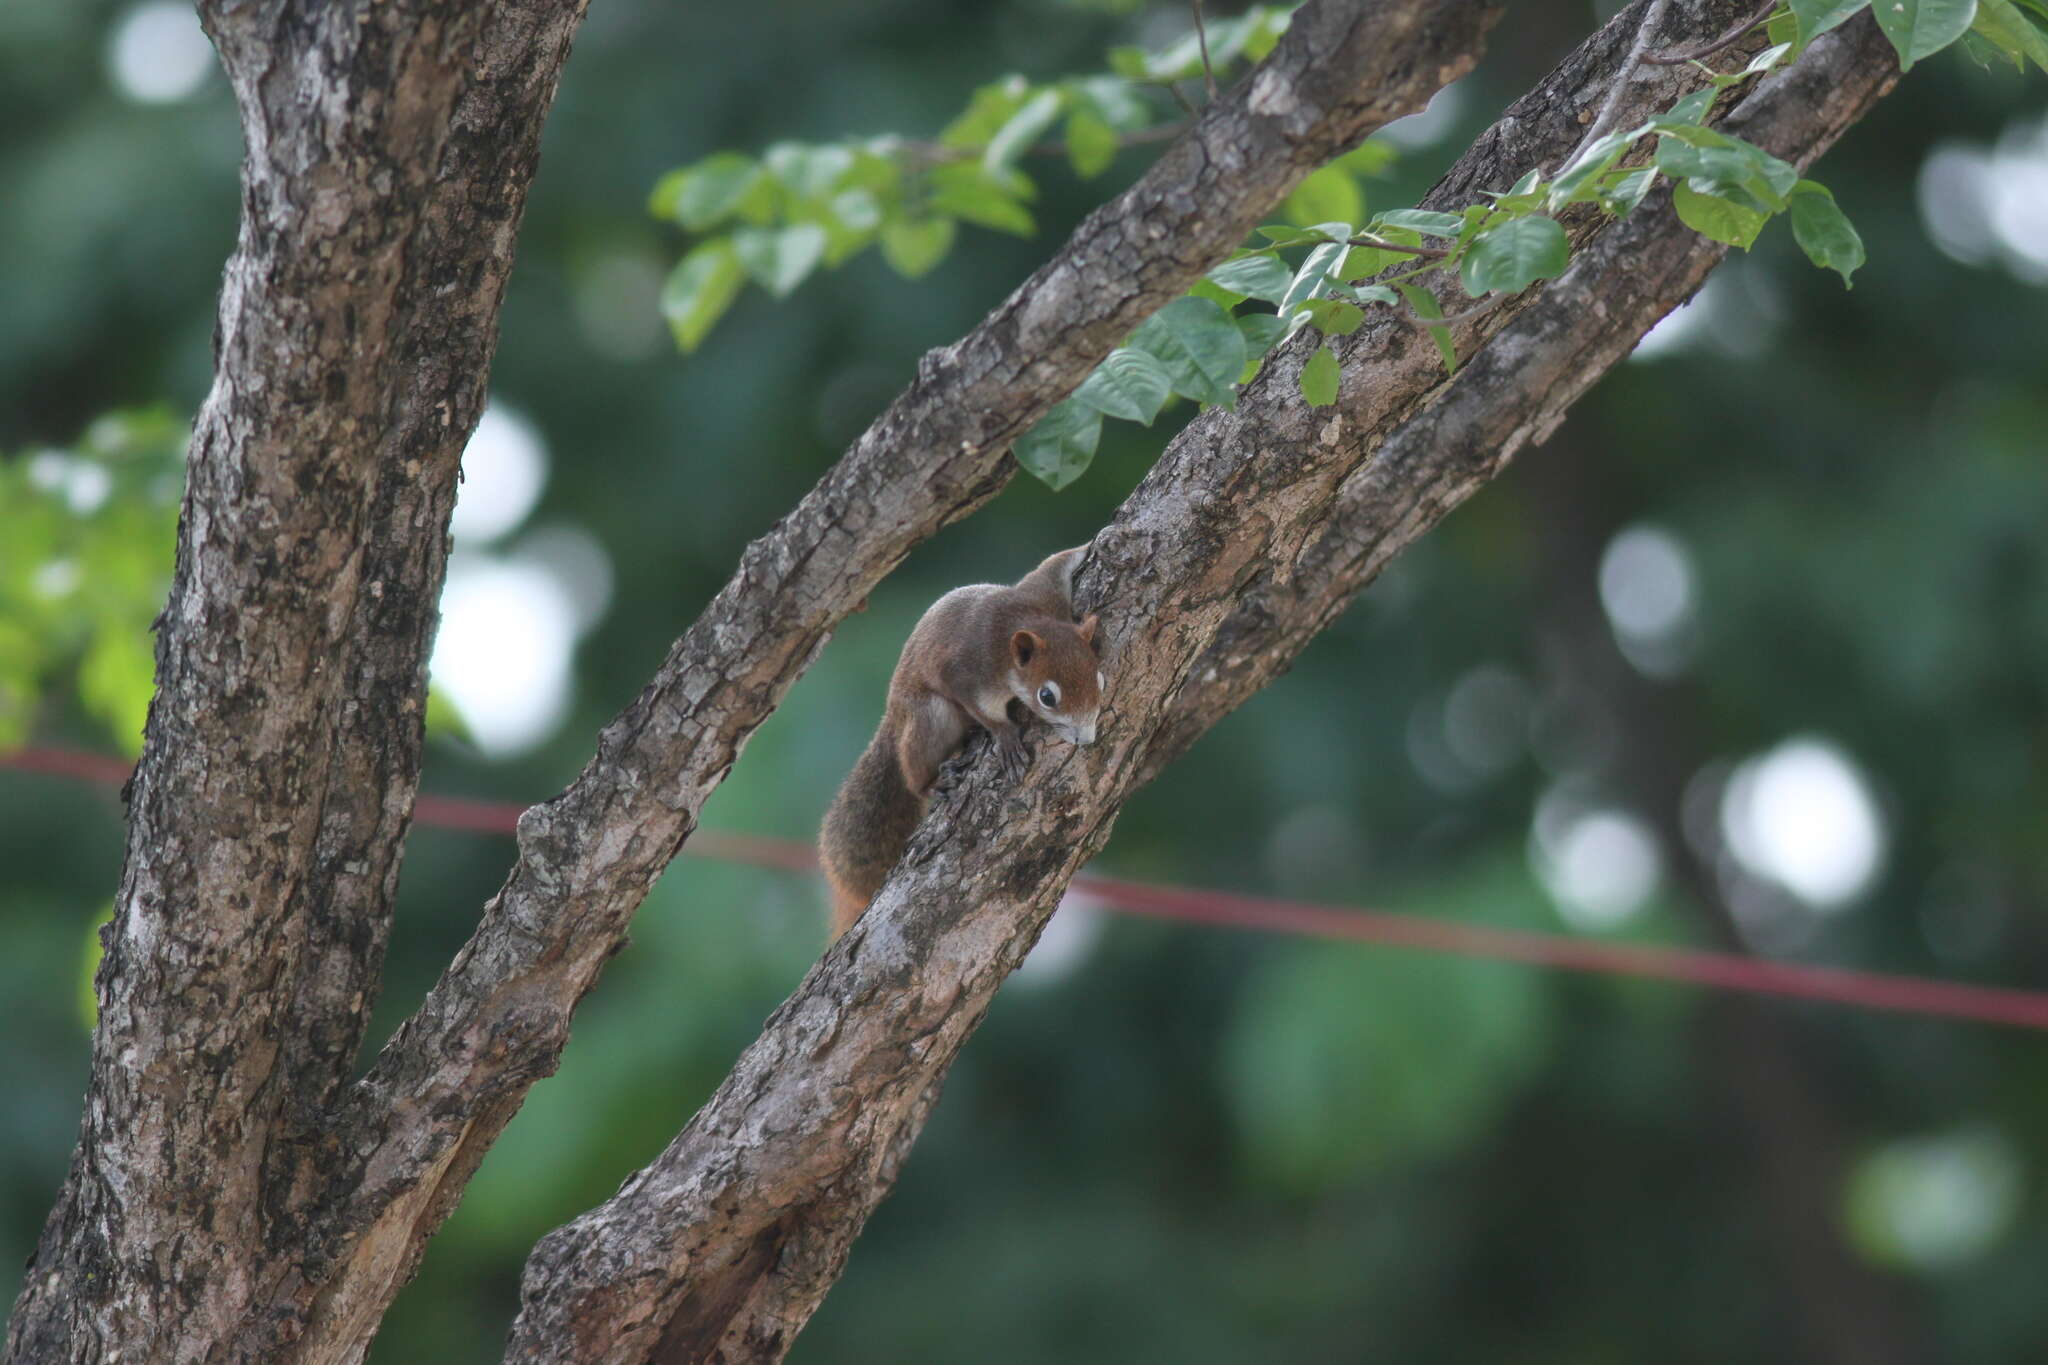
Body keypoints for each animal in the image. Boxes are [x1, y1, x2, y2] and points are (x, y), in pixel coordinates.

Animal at [815, 544, 1105, 941]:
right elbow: (980, 706)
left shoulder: (1042, 596)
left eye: (1099, 678)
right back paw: (934, 780)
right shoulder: (967, 673)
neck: (1011, 626)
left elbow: (1051, 566)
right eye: (1047, 697)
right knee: (913, 768)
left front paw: (1083, 547)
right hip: (929, 716)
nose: (1086, 737)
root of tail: (893, 715)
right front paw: (1005, 737)